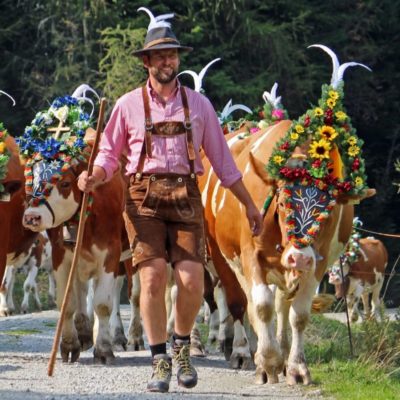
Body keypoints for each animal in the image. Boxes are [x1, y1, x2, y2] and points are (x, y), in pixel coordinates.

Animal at [200, 121, 376, 384]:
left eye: (328, 211)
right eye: (282, 203)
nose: (299, 257)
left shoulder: (317, 263)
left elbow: (298, 314)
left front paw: (295, 367)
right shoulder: (250, 256)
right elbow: (261, 306)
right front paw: (267, 362)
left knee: (281, 305)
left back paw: (278, 349)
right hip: (223, 257)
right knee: (239, 302)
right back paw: (241, 350)